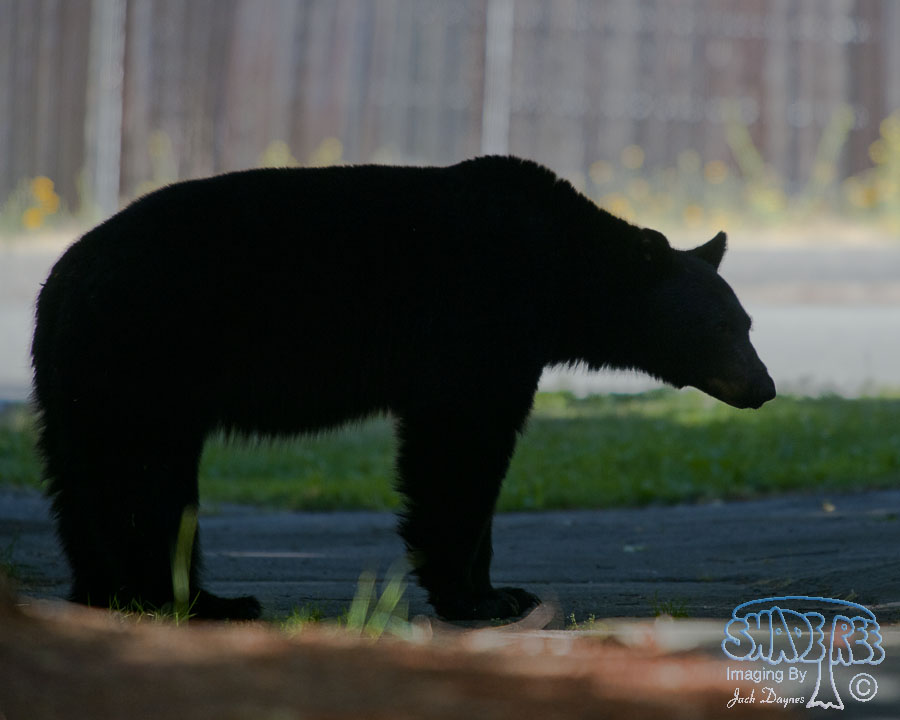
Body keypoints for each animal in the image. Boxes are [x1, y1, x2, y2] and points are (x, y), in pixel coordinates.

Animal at [31, 156, 775, 621]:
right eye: (721, 326)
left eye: (746, 322)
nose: (764, 385)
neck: (559, 270)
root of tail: (61, 280)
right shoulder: (475, 318)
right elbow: (459, 441)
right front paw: (477, 597)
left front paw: (502, 589)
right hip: (149, 351)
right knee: (145, 476)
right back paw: (193, 600)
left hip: (78, 381)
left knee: (82, 478)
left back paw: (104, 589)